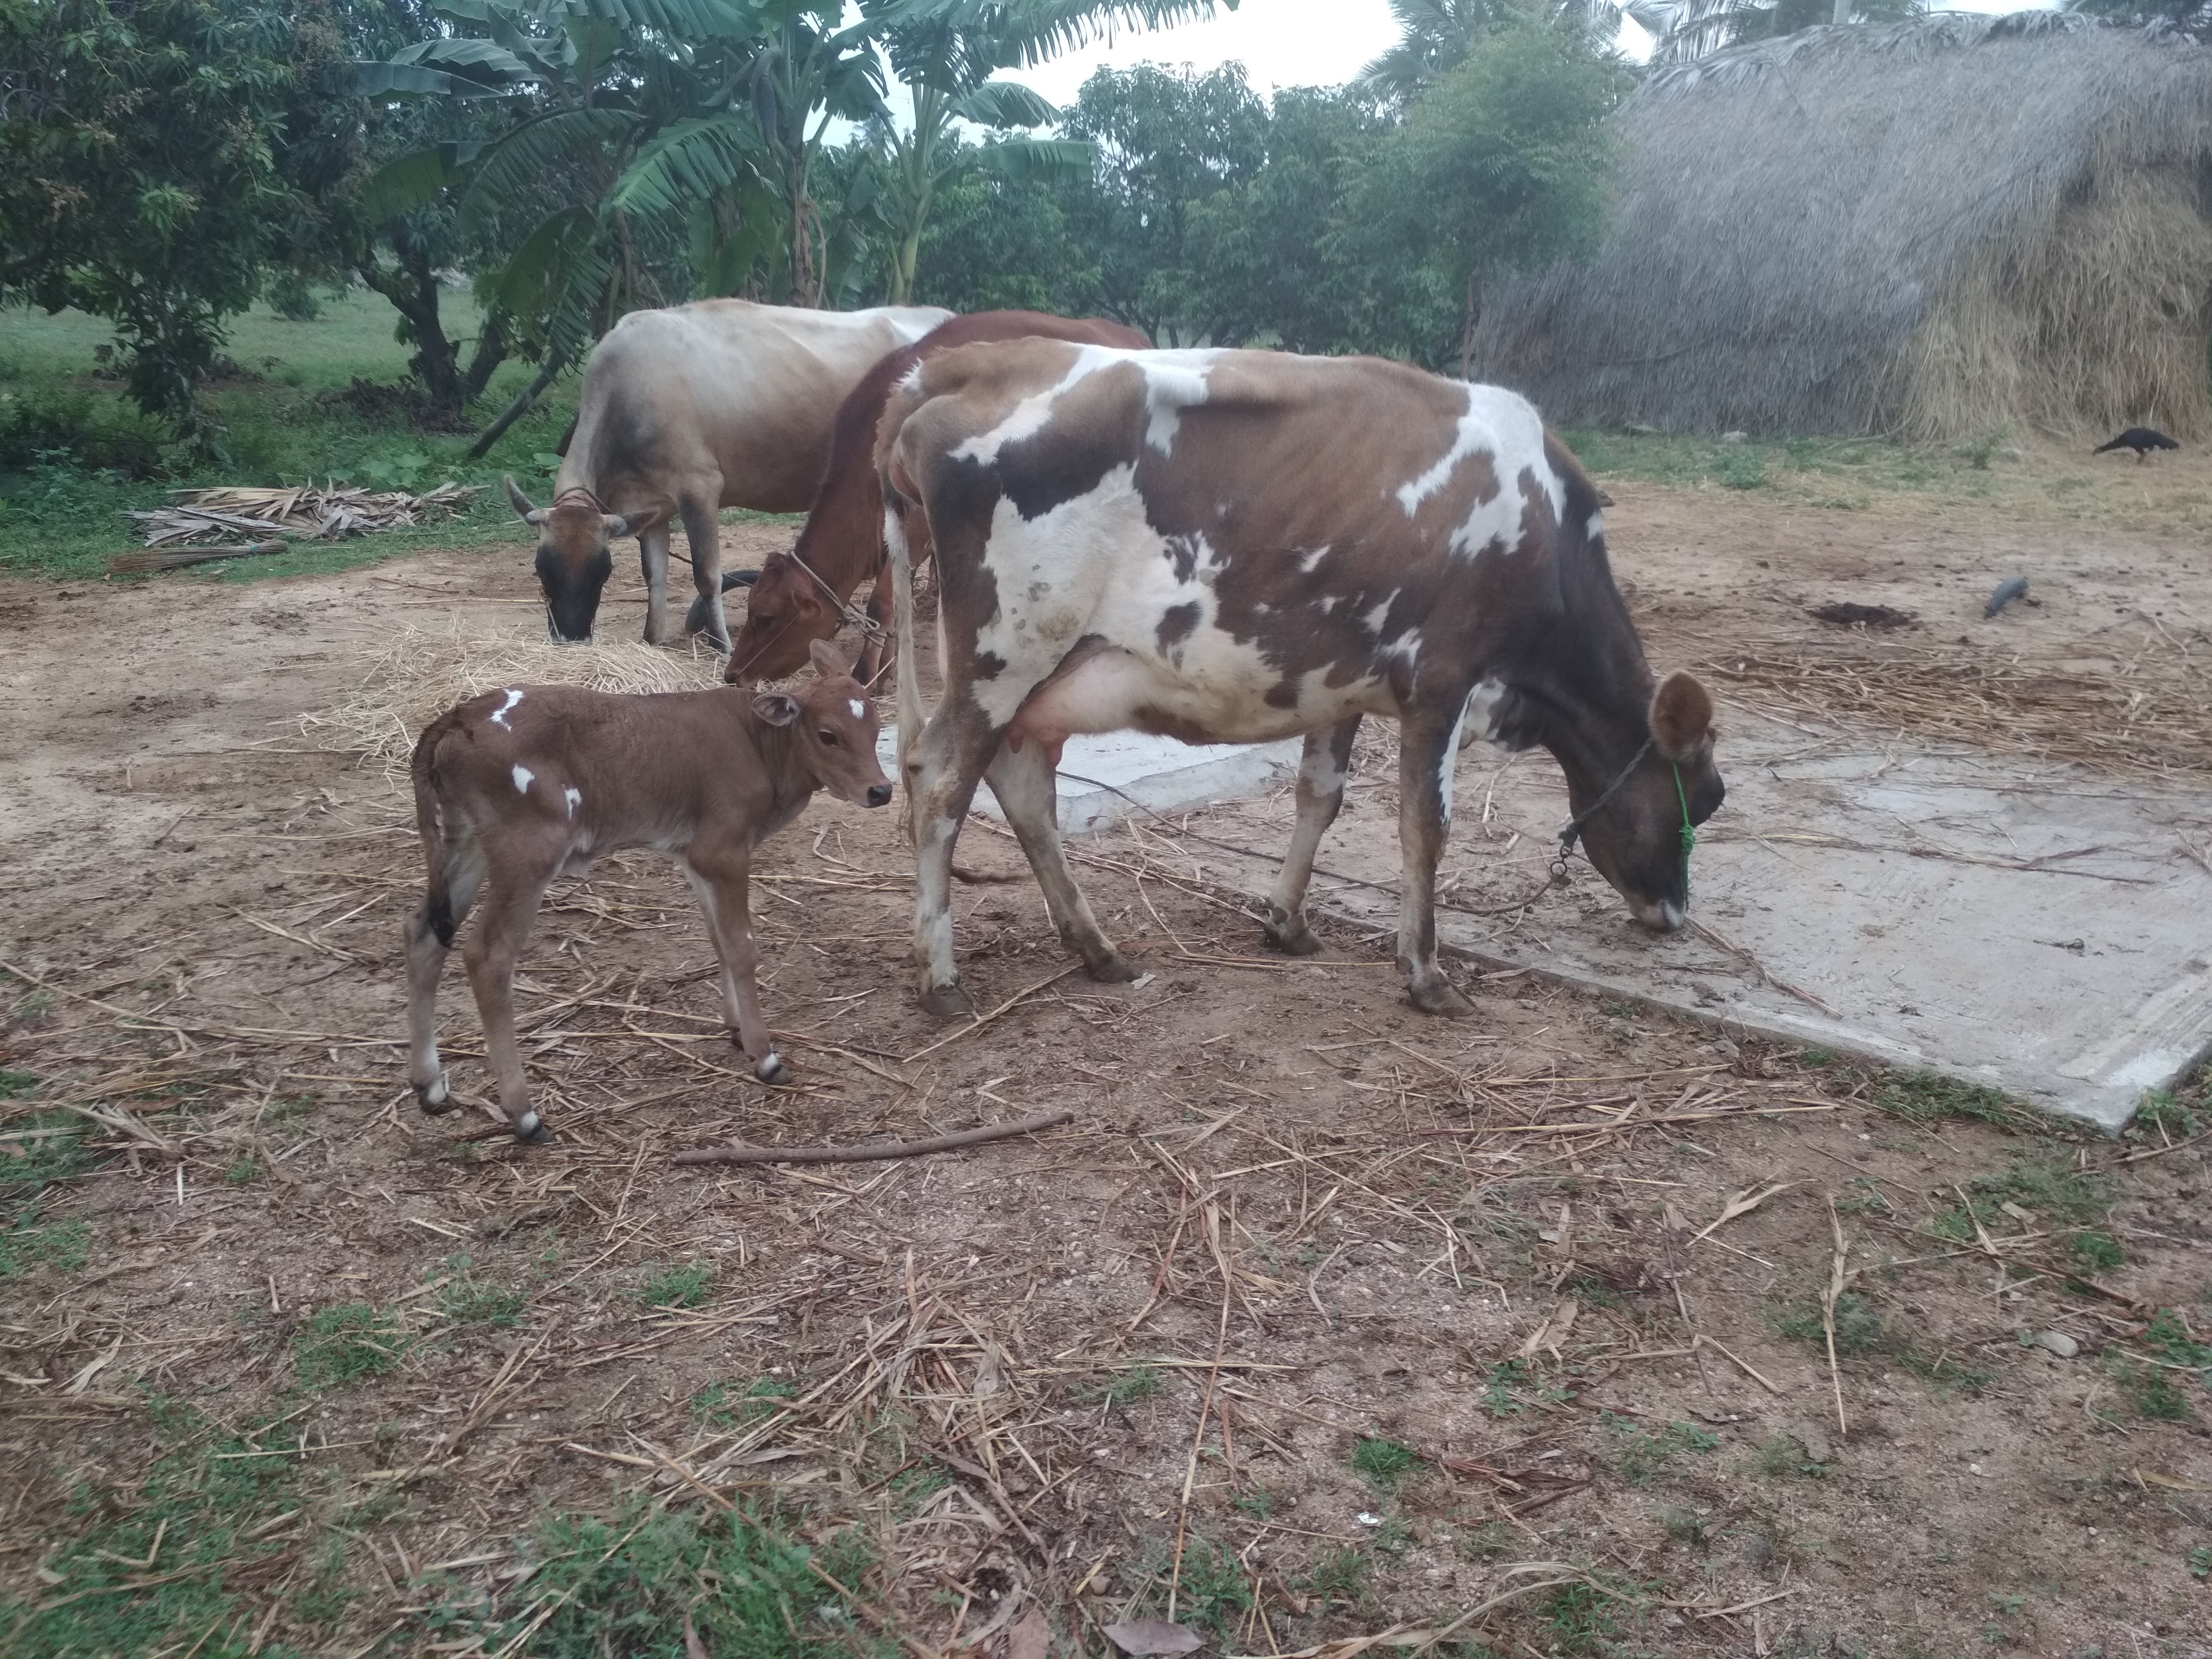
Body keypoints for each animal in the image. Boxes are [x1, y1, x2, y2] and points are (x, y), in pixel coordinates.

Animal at [402, 640, 891, 1143]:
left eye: (877, 729)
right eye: (829, 735)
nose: (881, 791)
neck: (759, 744)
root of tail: (461, 714)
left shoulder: (692, 854)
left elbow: (719, 939)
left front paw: (736, 1028)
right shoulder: (723, 850)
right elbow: (742, 946)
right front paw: (765, 1055)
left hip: (466, 842)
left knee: (424, 932)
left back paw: (430, 1086)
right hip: (529, 851)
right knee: (488, 956)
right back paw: (524, 1113)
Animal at [503, 298, 950, 651]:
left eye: (603, 570)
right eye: (542, 568)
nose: (570, 637)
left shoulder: (699, 488)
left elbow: (707, 575)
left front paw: (722, 645)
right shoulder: (649, 506)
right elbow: (655, 575)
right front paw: (652, 639)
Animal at [715, 311, 1150, 686]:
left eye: (766, 618)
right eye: (750, 608)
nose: (733, 675)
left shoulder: (922, 520)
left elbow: (883, 603)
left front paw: (866, 674)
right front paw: (889, 670)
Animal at [874, 341, 1725, 1019]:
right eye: (1708, 798)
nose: (1674, 915)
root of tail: (962, 363)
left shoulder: (1339, 681)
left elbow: (1320, 797)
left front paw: (1286, 922)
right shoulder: (1443, 680)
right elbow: (1425, 827)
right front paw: (1426, 974)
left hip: (1032, 677)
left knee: (1019, 788)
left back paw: (1098, 949)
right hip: (1005, 650)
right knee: (942, 779)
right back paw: (941, 978)